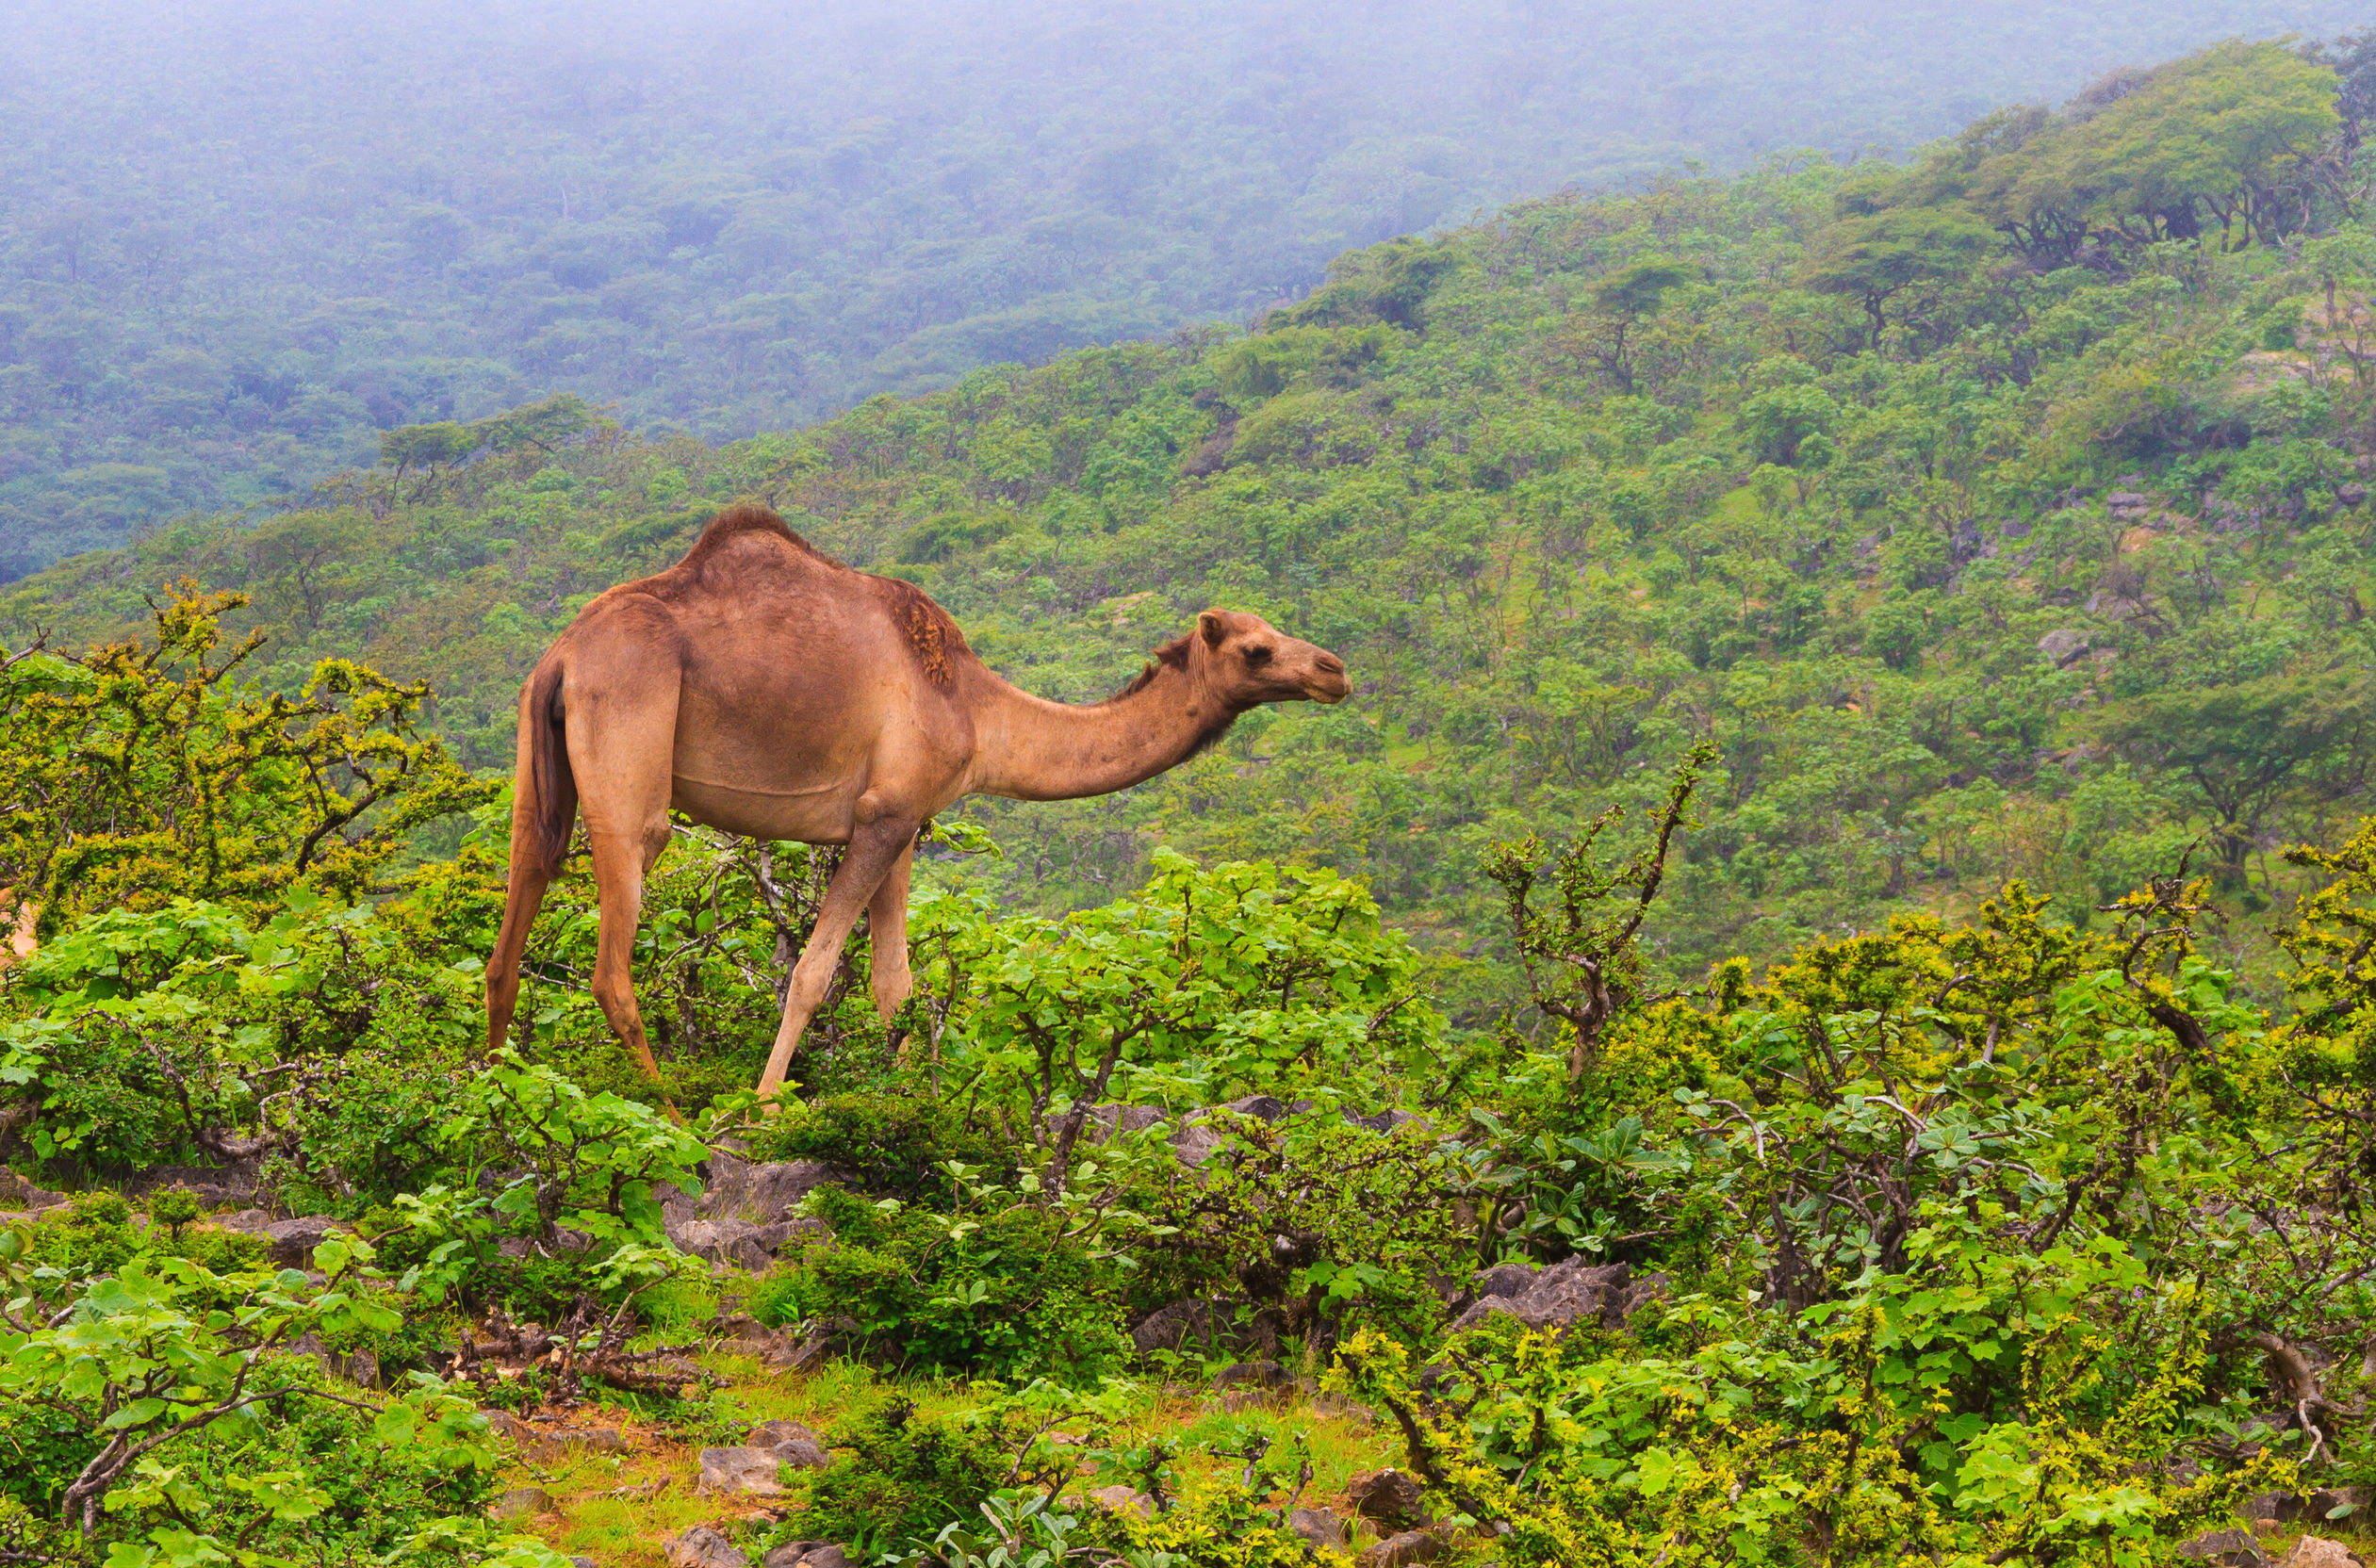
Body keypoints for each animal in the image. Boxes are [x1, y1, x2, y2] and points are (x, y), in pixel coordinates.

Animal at [482, 498, 1349, 1087]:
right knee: (612, 958)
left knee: (514, 914)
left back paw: (491, 1097)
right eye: (1256, 648)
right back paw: (673, 1113)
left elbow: (893, 986)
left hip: (536, 752)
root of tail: (562, 657)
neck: (976, 709)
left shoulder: (906, 825)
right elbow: (812, 973)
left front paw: (904, 1103)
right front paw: (767, 1104)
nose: (1333, 670)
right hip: (629, 738)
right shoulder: (882, 815)